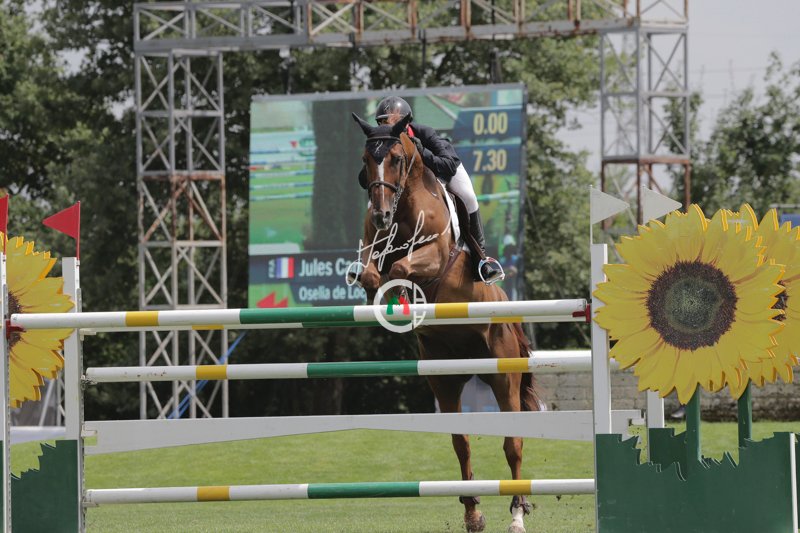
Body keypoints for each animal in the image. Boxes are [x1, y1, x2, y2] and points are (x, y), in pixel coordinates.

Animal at [351, 113, 541, 533]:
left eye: (398, 159)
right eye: (366, 161)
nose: (381, 215)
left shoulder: (435, 255)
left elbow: (403, 267)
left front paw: (400, 294)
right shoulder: (373, 246)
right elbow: (373, 272)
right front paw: (383, 296)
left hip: (503, 375)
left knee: (514, 444)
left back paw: (518, 514)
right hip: (445, 377)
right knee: (461, 442)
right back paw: (473, 513)